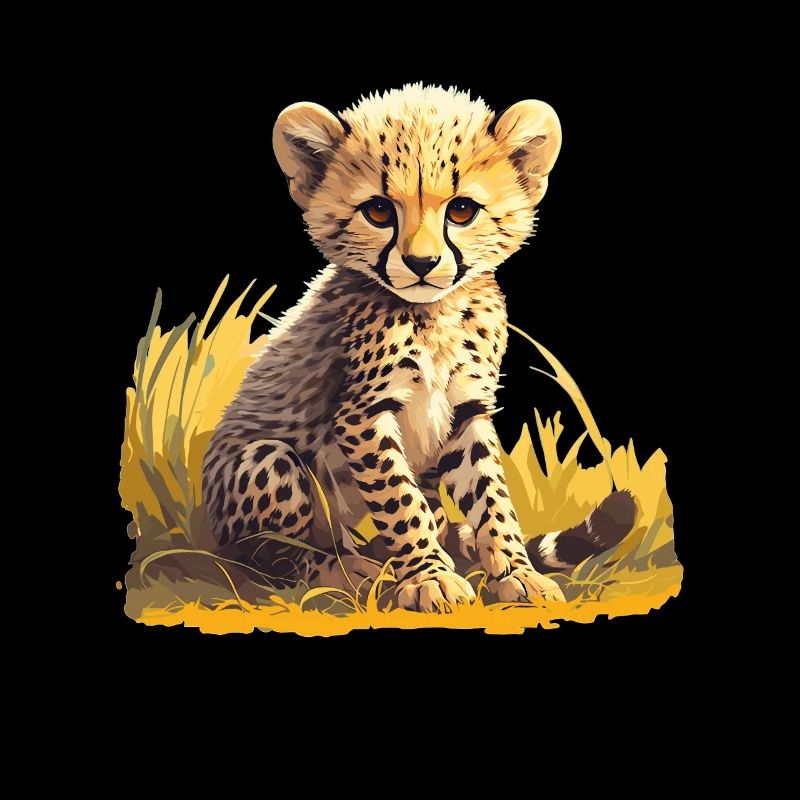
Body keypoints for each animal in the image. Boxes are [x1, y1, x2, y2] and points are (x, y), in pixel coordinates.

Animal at [202, 84, 635, 612]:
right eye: (379, 211)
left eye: (462, 210)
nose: (422, 263)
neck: (435, 316)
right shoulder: (362, 416)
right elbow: (400, 503)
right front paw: (430, 576)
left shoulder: (466, 408)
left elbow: (490, 497)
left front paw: (516, 572)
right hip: (263, 462)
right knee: (271, 555)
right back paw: (346, 570)